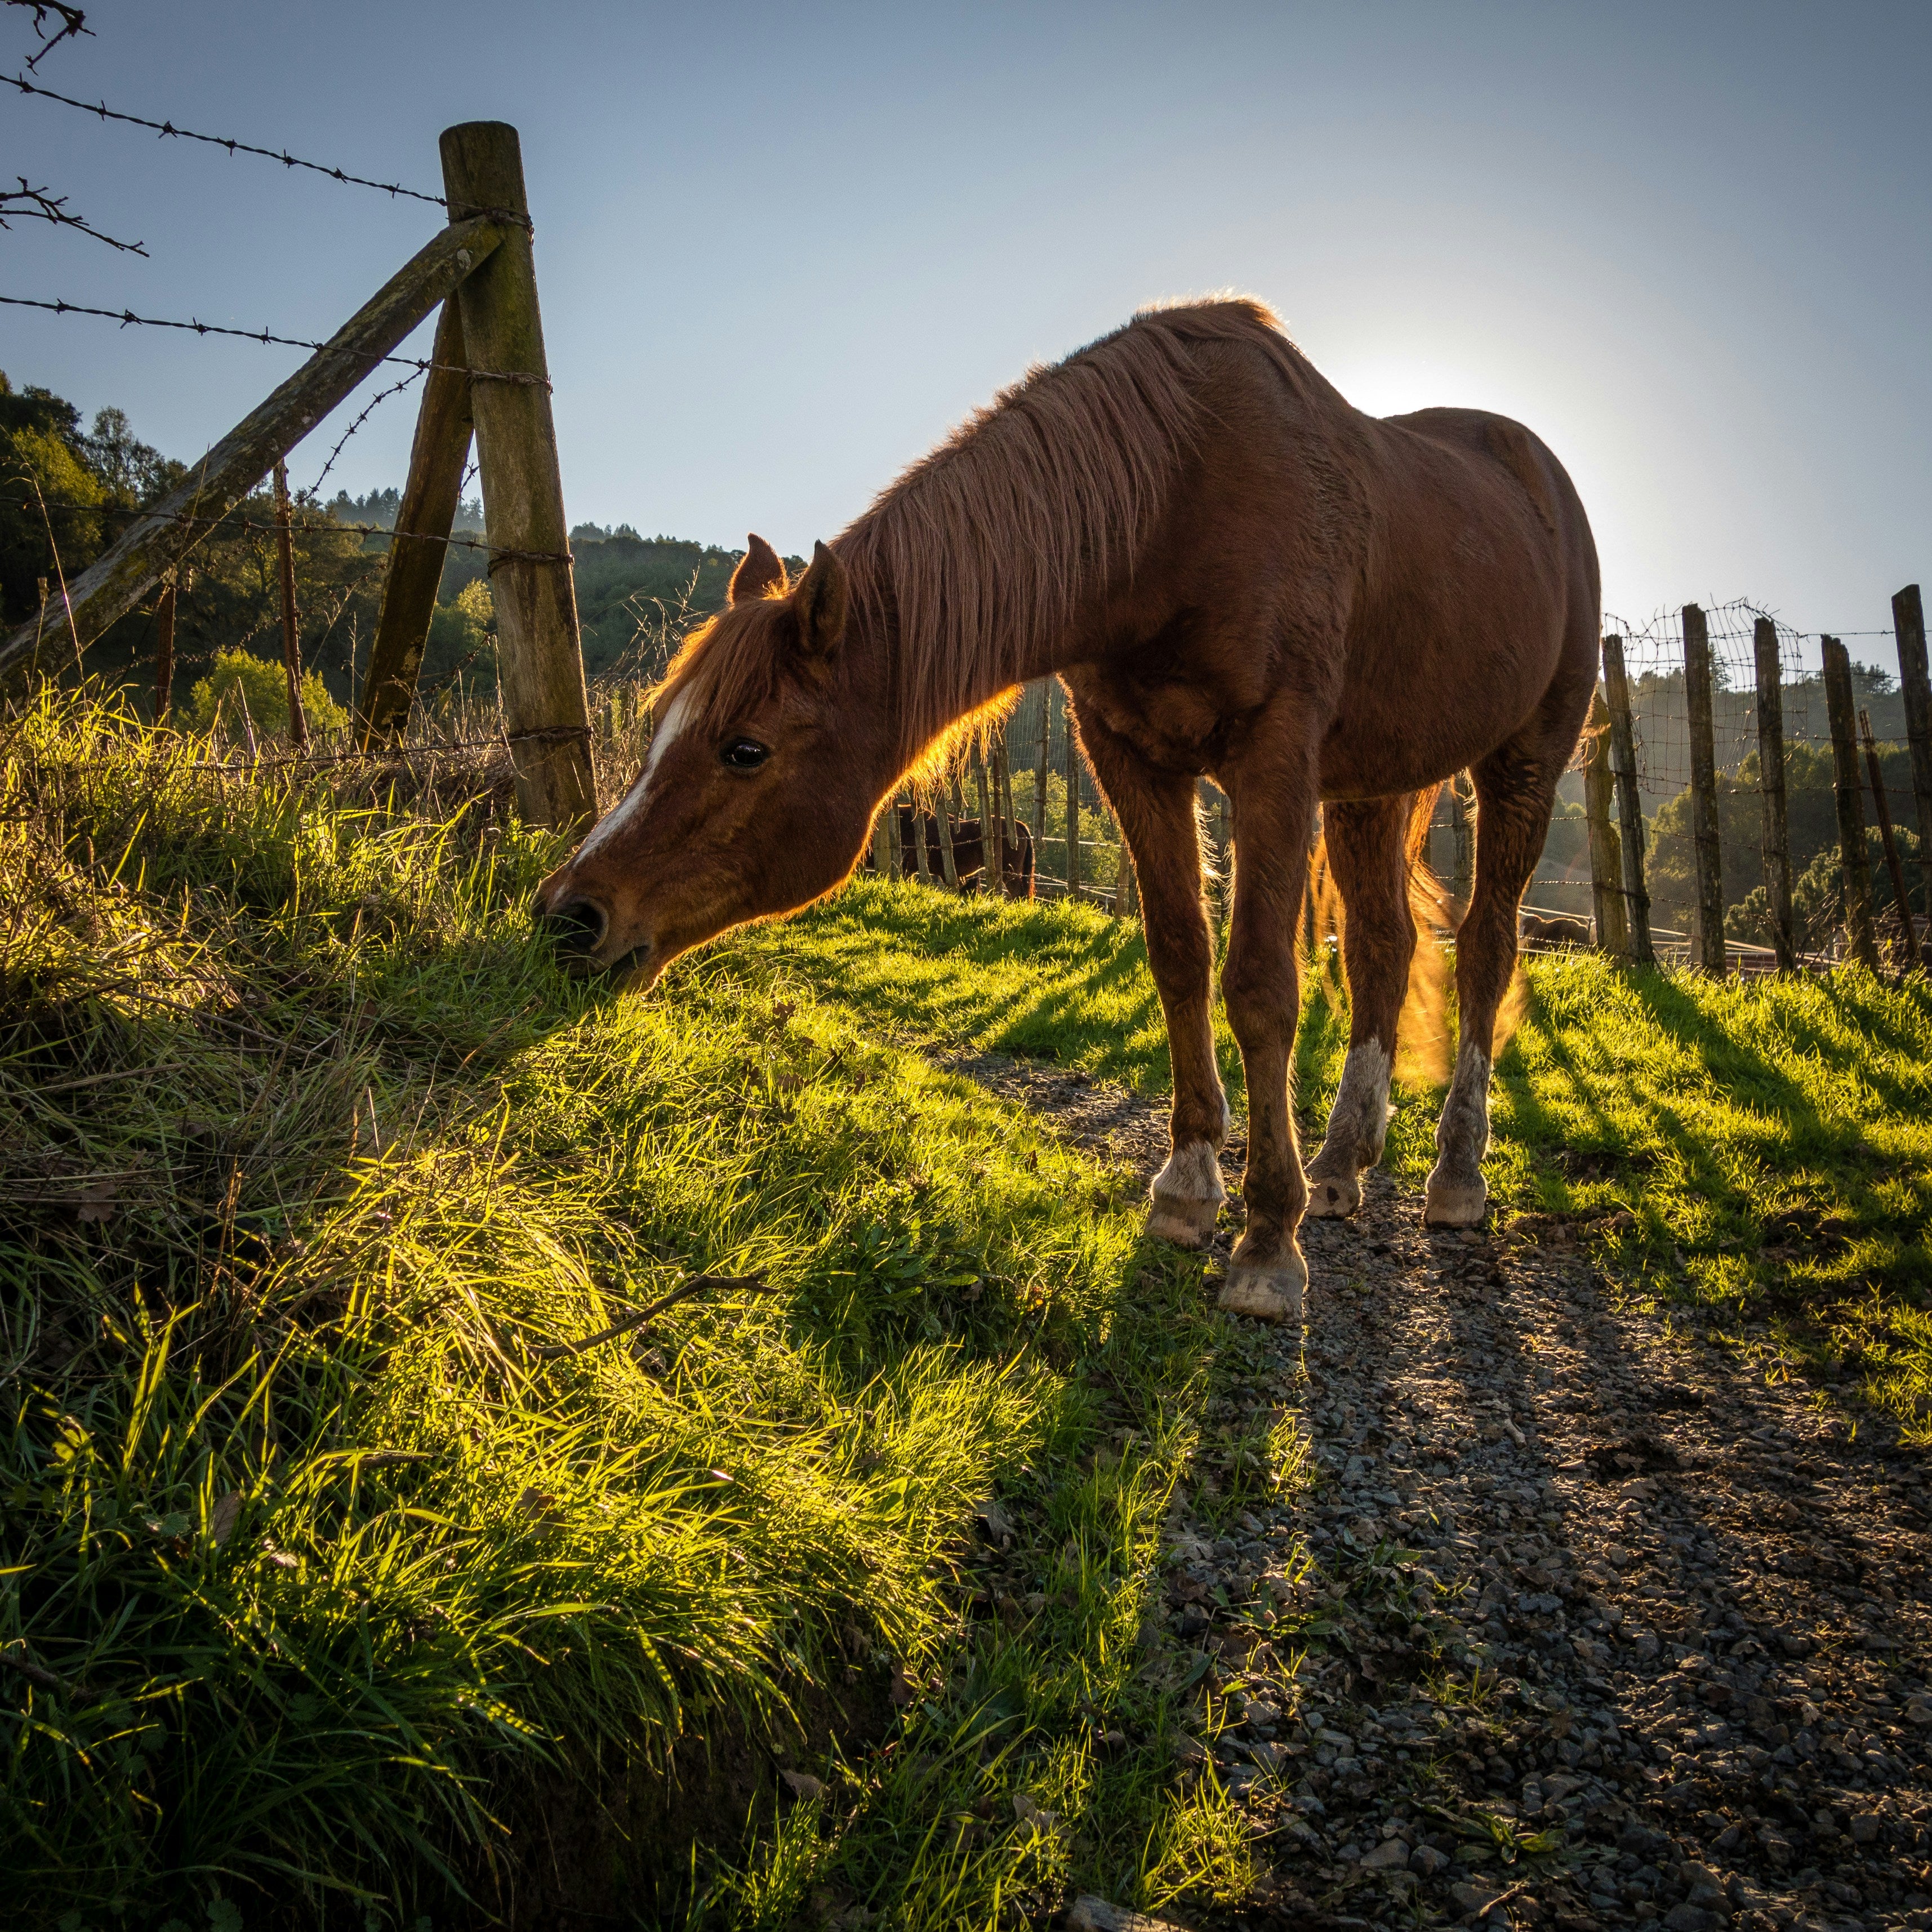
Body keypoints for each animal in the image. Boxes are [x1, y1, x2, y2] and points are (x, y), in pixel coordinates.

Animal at [537, 297, 1592, 1329]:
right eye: (656, 727)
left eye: (745, 749)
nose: (567, 916)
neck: (1173, 507)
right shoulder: (1131, 758)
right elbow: (1179, 956)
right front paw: (1187, 1187)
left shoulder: (1274, 758)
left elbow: (1260, 984)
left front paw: (1265, 1244)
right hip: (1373, 785)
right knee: (1383, 946)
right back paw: (1340, 1163)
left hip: (1521, 763)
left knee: (1487, 949)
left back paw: (1455, 1174)